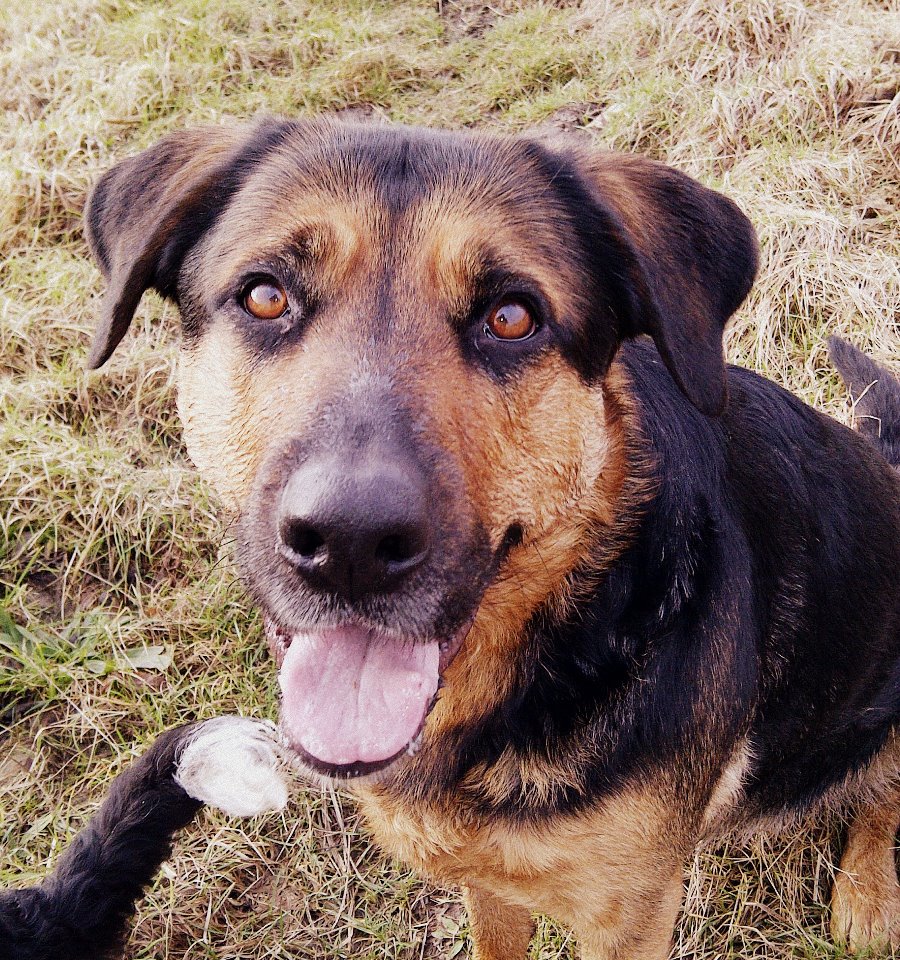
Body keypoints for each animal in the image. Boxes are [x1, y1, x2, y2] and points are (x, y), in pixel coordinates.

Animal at [82, 122, 900, 960]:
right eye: (265, 296)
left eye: (512, 317)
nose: (350, 543)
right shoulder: (488, 878)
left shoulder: (632, 916)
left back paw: (869, 894)